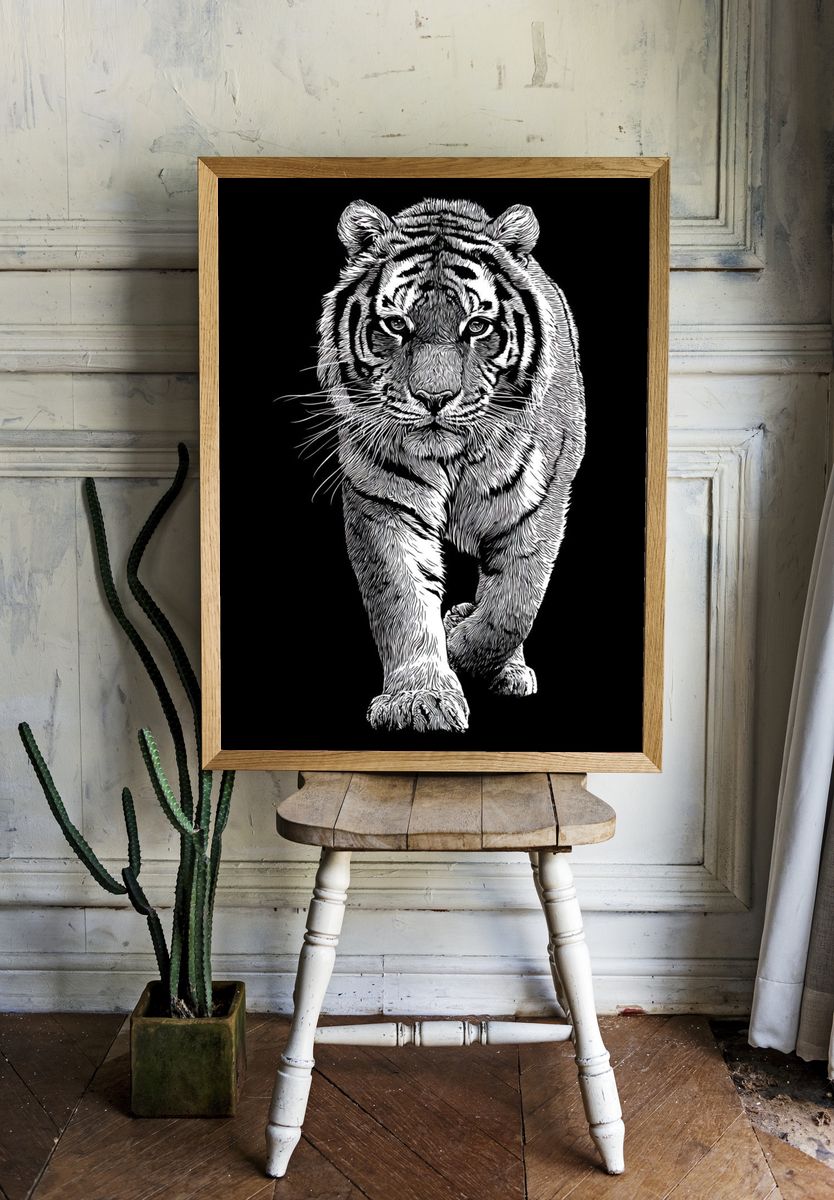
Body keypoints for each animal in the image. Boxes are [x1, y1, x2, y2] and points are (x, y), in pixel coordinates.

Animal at [316, 196, 585, 734]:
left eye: (476, 326)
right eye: (397, 325)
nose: (434, 398)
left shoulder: (539, 505)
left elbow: (513, 606)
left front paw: (460, 642)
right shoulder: (383, 502)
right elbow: (401, 599)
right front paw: (420, 699)